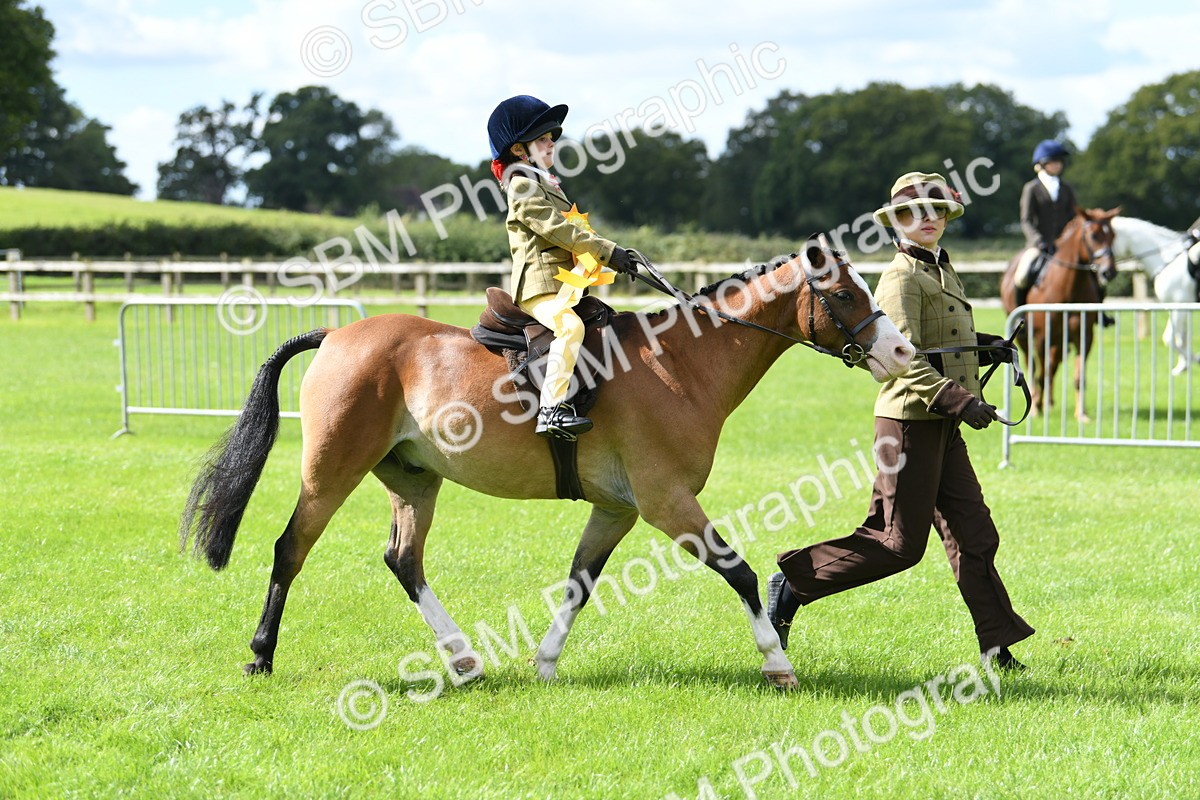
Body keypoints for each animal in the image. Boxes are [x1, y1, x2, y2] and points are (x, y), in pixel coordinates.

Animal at [178, 239, 915, 691]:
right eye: (845, 295)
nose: (903, 352)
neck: (678, 364)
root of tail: (335, 334)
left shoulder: (617, 509)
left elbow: (578, 585)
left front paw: (546, 663)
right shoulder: (665, 502)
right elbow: (737, 569)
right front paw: (777, 663)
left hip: (414, 479)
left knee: (404, 561)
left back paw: (466, 661)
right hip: (331, 471)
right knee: (290, 549)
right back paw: (261, 655)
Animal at [1000, 208, 1119, 422]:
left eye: (1112, 235)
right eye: (1093, 235)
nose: (1109, 272)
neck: (1069, 287)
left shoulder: (1084, 337)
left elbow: (1079, 377)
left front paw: (1081, 414)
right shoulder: (1042, 337)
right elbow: (1041, 372)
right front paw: (1036, 408)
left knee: (1052, 366)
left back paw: (1049, 401)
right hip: (1026, 338)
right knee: (1034, 367)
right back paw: (1039, 402)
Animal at [1111, 216, 1200, 375]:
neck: (1166, 259)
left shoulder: (1180, 307)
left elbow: (1169, 339)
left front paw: (1195, 359)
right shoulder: (1178, 307)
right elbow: (1181, 338)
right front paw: (1182, 367)